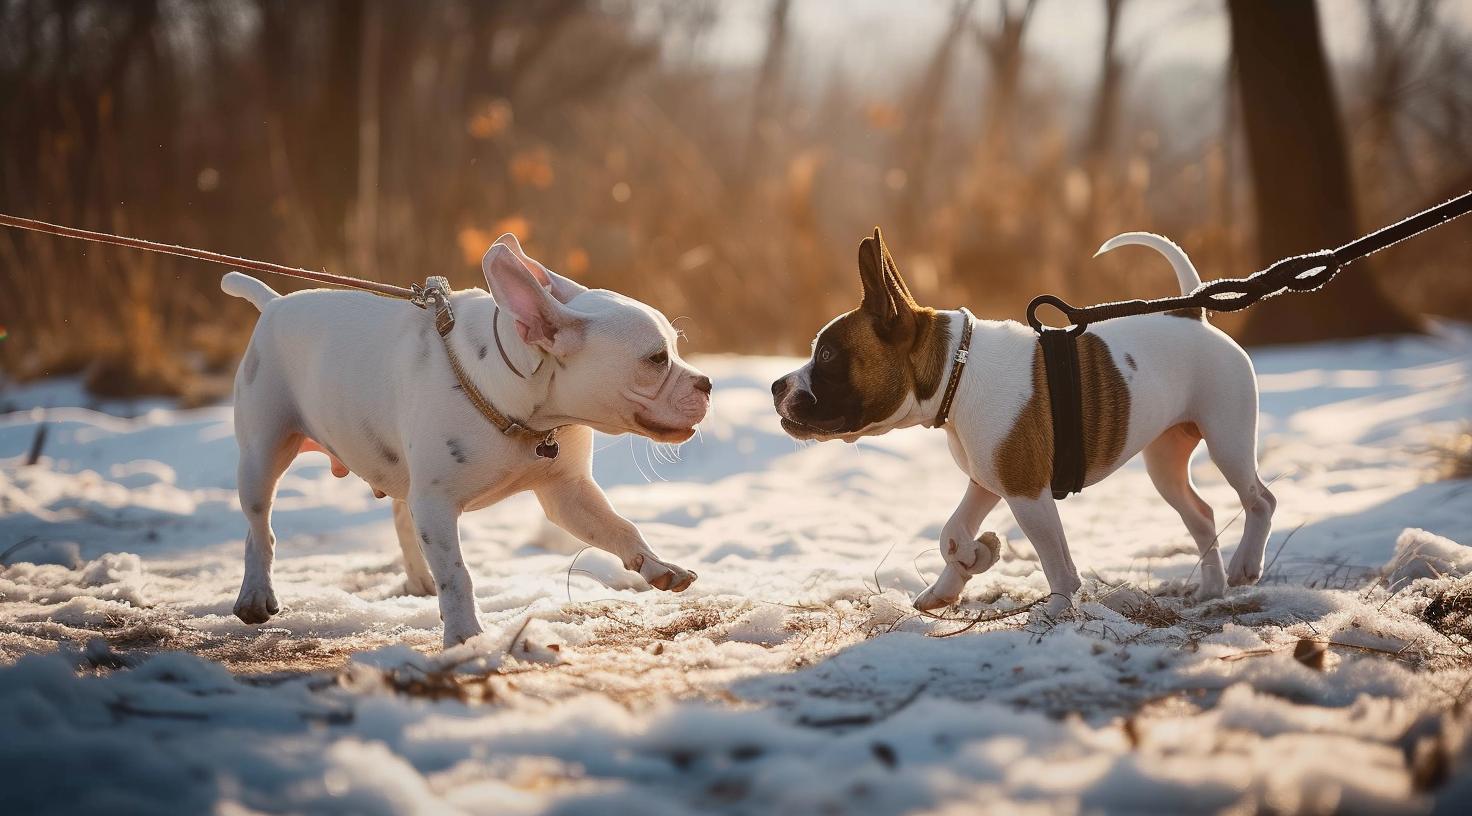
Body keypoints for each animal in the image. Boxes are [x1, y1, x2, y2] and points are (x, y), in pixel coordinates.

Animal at [217, 232, 706, 642]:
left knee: (400, 514)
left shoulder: (569, 493)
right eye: (656, 359)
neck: (521, 408)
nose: (707, 383)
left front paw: (657, 565)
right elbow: (458, 572)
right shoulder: (436, 503)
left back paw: (419, 581)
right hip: (262, 452)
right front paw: (465, 635)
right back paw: (255, 595)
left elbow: (619, 526)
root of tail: (274, 303)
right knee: (260, 525)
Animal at [777, 226, 1271, 615]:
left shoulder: (1026, 492)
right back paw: (1212, 588)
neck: (957, 371)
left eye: (828, 356)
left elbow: (1055, 560)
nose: (777, 386)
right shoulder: (986, 480)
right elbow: (952, 532)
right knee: (1202, 515)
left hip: (1227, 439)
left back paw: (1246, 565)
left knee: (1259, 500)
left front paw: (1055, 609)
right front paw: (965, 567)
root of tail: (1192, 314)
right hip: (1165, 463)